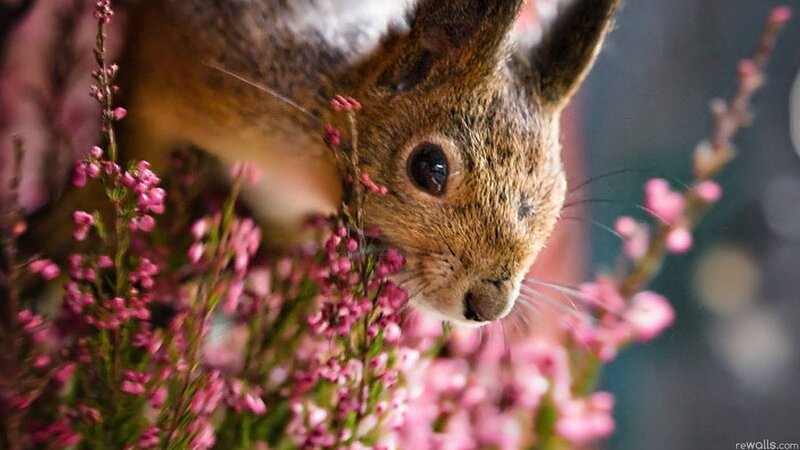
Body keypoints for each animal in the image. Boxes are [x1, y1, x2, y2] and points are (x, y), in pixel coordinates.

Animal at [34, 0, 621, 326]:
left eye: (556, 195)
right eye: (429, 168)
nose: (488, 305)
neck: (310, 172)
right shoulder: (174, 81)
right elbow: (139, 141)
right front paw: (79, 223)